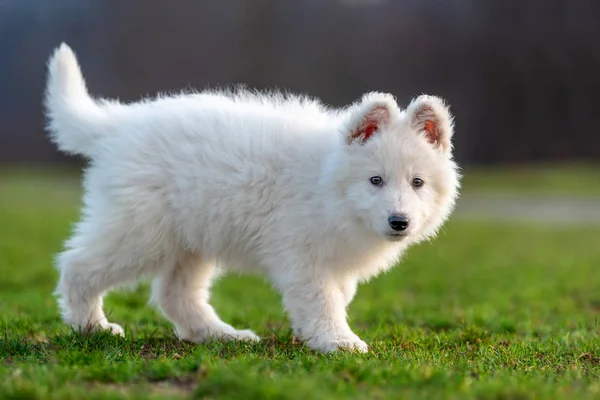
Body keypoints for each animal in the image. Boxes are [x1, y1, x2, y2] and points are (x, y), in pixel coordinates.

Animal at [44, 42, 462, 352]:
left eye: (418, 183)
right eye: (375, 180)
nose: (399, 222)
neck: (326, 186)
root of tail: (118, 124)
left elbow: (338, 295)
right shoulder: (304, 256)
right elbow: (323, 301)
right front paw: (338, 341)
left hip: (192, 237)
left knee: (175, 293)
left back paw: (219, 335)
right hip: (141, 231)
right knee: (78, 265)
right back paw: (92, 326)